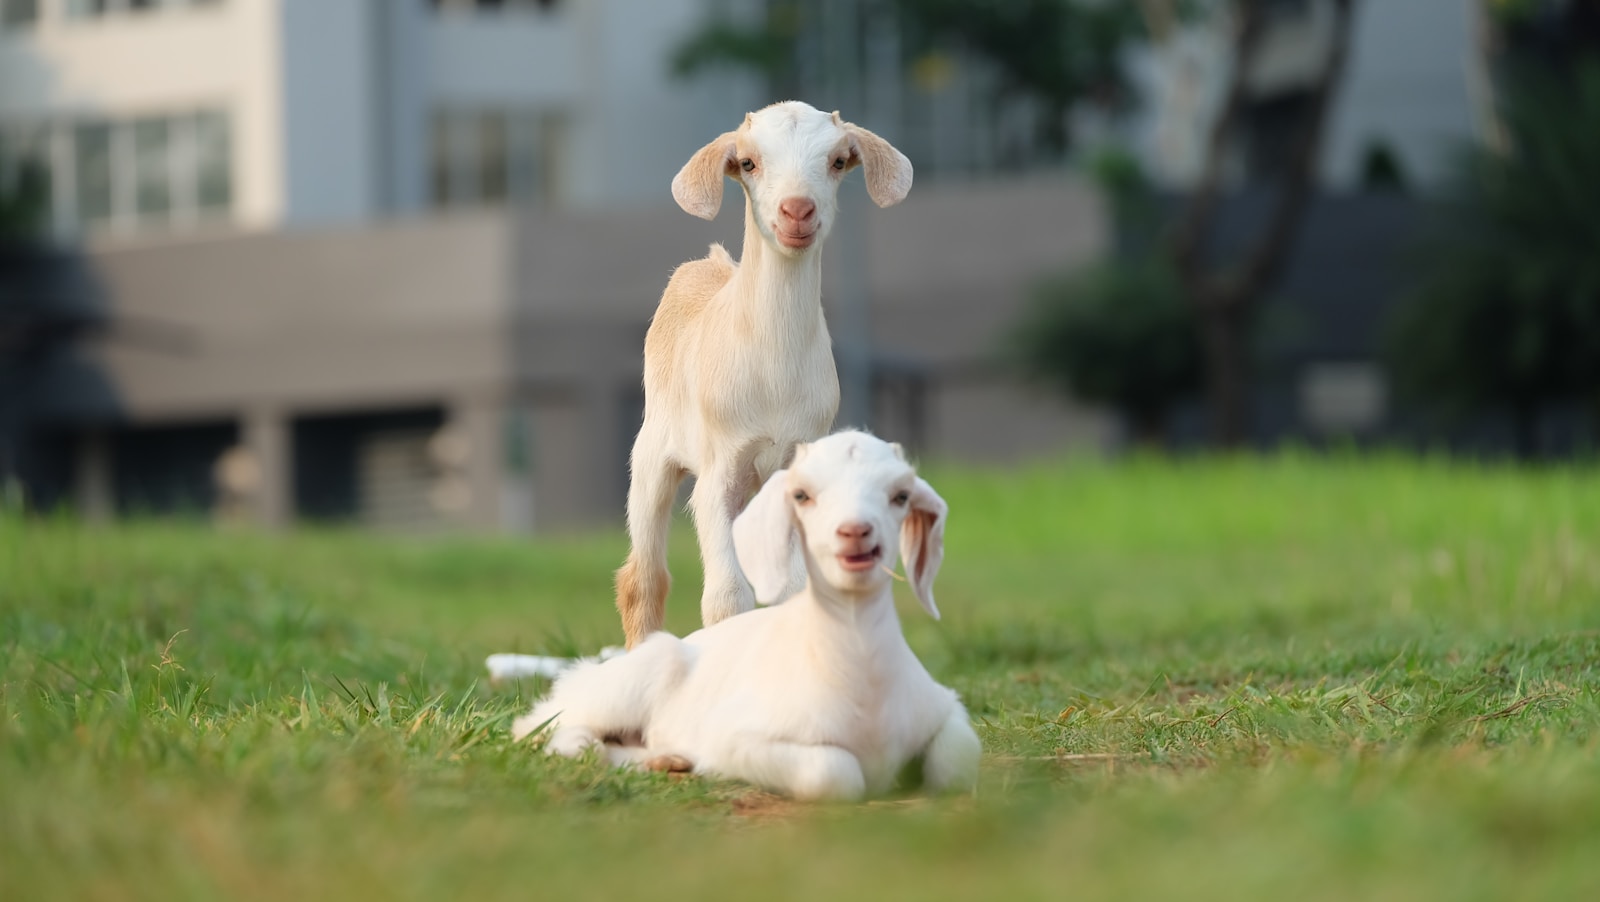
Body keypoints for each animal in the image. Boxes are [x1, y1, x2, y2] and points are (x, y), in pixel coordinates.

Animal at [518, 431, 979, 802]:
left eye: (901, 495)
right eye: (802, 495)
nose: (855, 533)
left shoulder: (944, 707)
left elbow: (958, 759)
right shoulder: (739, 734)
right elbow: (834, 773)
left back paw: (666, 760)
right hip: (624, 684)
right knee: (540, 725)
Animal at [614, 100, 915, 649]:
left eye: (837, 161)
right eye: (749, 162)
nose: (797, 211)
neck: (773, 371)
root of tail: (708, 263)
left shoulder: (794, 468)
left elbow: (794, 592)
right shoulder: (720, 468)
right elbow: (726, 599)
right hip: (651, 455)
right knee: (643, 578)